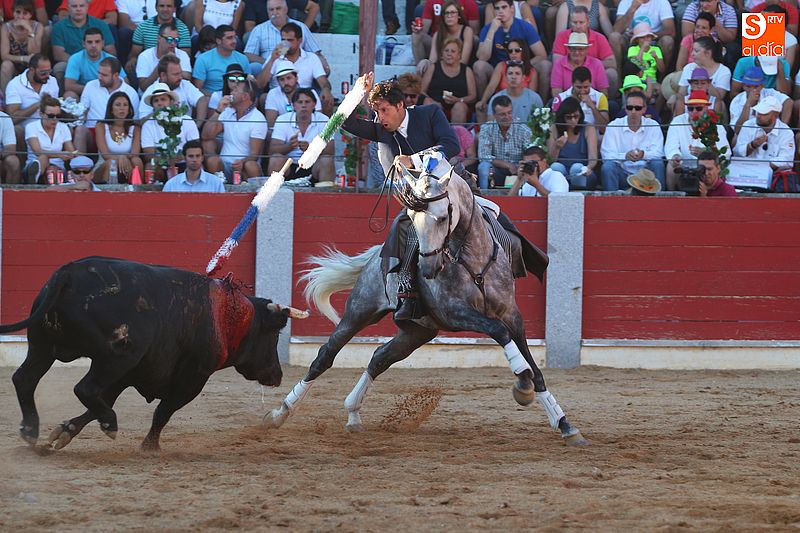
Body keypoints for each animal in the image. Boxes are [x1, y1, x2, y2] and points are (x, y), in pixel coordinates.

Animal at [2, 257, 306, 451]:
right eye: (273, 336)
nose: (277, 375)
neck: (229, 317)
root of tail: (70, 272)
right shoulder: (193, 377)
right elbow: (164, 411)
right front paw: (150, 446)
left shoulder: (128, 375)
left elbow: (99, 405)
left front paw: (64, 432)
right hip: (118, 355)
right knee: (83, 388)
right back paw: (110, 424)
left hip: (43, 346)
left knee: (25, 379)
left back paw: (30, 430)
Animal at [264, 163, 587, 446]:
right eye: (413, 218)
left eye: (444, 217)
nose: (429, 268)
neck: (473, 259)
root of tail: (375, 257)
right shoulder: (455, 312)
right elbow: (501, 334)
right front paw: (522, 385)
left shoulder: (511, 314)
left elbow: (535, 368)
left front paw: (565, 425)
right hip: (359, 311)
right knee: (325, 356)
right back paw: (280, 413)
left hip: (417, 331)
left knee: (379, 357)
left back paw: (353, 414)